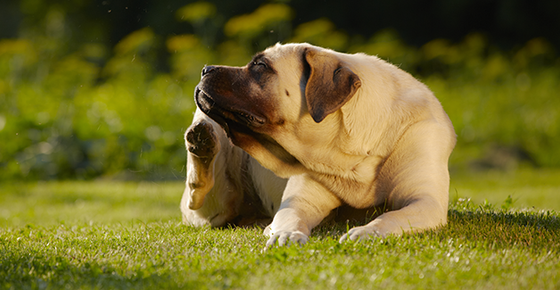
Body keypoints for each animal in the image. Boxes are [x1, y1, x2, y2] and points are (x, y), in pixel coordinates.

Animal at [179, 43, 456, 247]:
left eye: (260, 66)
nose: (205, 69)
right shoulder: (301, 201)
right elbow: (289, 216)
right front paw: (285, 234)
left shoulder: (425, 201)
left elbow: (389, 217)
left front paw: (366, 232)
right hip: (214, 203)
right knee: (198, 190)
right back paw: (202, 143)